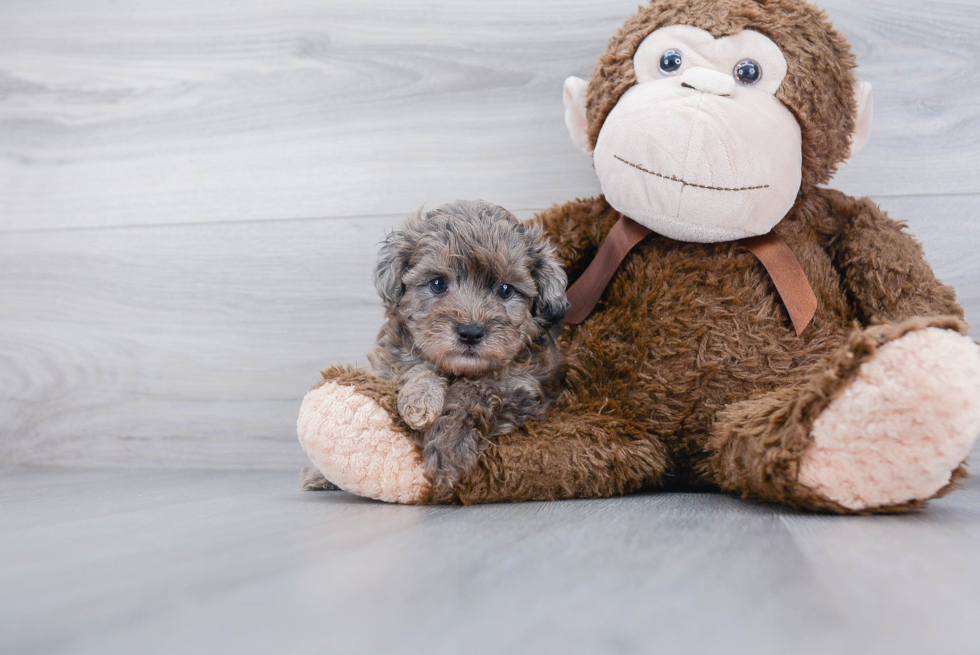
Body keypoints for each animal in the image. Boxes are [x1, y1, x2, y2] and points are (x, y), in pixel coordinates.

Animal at [366, 200, 568, 492]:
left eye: (505, 290)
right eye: (438, 284)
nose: (471, 333)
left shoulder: (521, 389)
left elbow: (471, 395)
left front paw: (447, 451)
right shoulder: (391, 360)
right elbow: (414, 367)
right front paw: (420, 400)